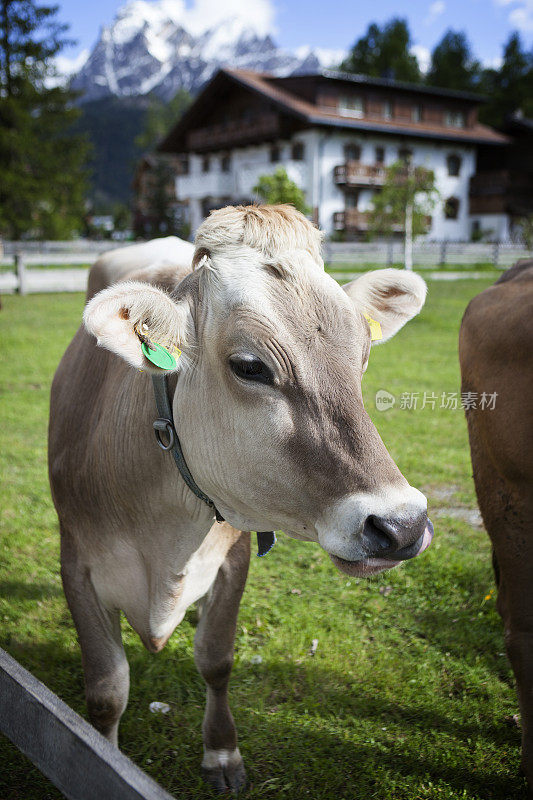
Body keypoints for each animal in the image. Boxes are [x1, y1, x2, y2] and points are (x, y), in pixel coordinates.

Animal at [48, 203, 432, 792]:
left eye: (363, 356)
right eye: (250, 366)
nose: (402, 524)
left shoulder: (234, 555)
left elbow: (216, 659)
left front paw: (222, 753)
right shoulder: (76, 563)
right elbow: (107, 689)